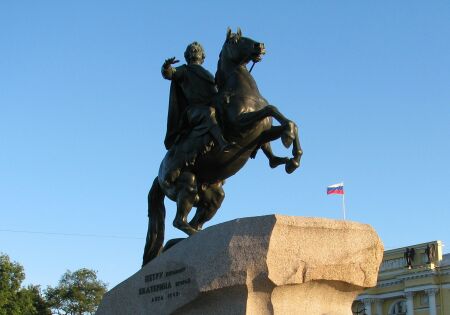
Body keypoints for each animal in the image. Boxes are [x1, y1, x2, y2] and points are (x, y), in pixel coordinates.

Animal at [142, 29, 302, 266]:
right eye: (236, 40)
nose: (260, 46)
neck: (242, 92)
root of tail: (158, 176)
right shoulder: (240, 126)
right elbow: (272, 109)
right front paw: (288, 140)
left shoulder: (260, 134)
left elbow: (287, 122)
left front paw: (293, 157)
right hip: (187, 184)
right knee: (179, 221)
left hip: (213, 197)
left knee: (194, 221)